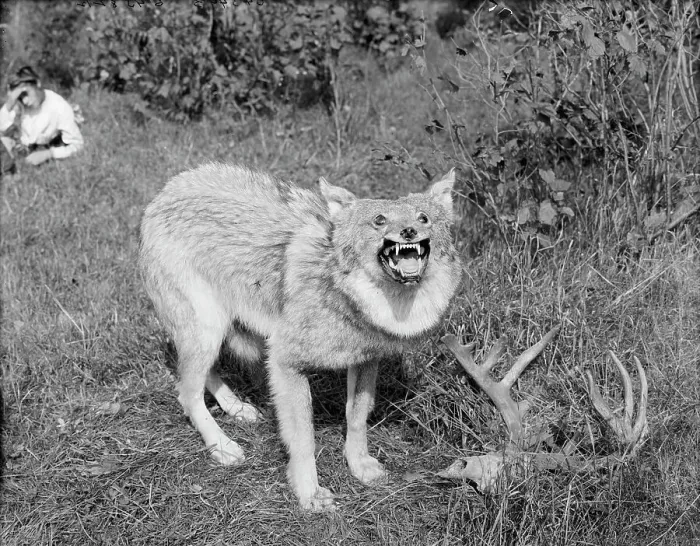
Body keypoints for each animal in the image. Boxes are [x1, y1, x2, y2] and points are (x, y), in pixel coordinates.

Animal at [139, 163, 462, 511]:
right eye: (380, 220)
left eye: (423, 218)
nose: (409, 232)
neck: (344, 293)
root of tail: (164, 192)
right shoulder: (284, 362)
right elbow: (304, 438)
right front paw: (309, 494)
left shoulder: (366, 360)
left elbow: (357, 417)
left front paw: (360, 466)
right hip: (207, 330)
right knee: (186, 393)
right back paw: (222, 446)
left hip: (215, 332)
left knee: (200, 379)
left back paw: (237, 408)